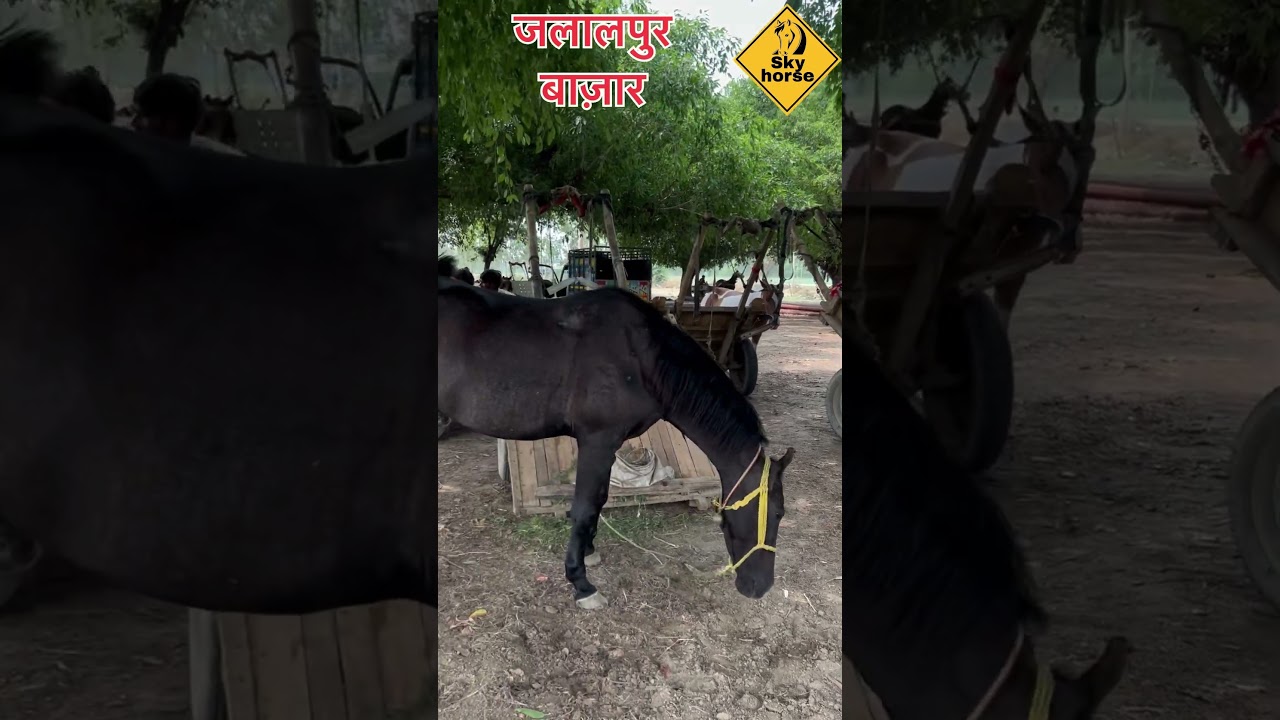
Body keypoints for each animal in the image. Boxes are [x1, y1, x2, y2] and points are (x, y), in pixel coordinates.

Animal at [437, 257, 793, 609]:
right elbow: (583, 507)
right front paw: (580, 582)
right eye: (778, 513)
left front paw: (589, 553)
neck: (641, 356)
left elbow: (599, 499)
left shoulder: (609, 445)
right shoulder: (597, 440)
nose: (759, 587)